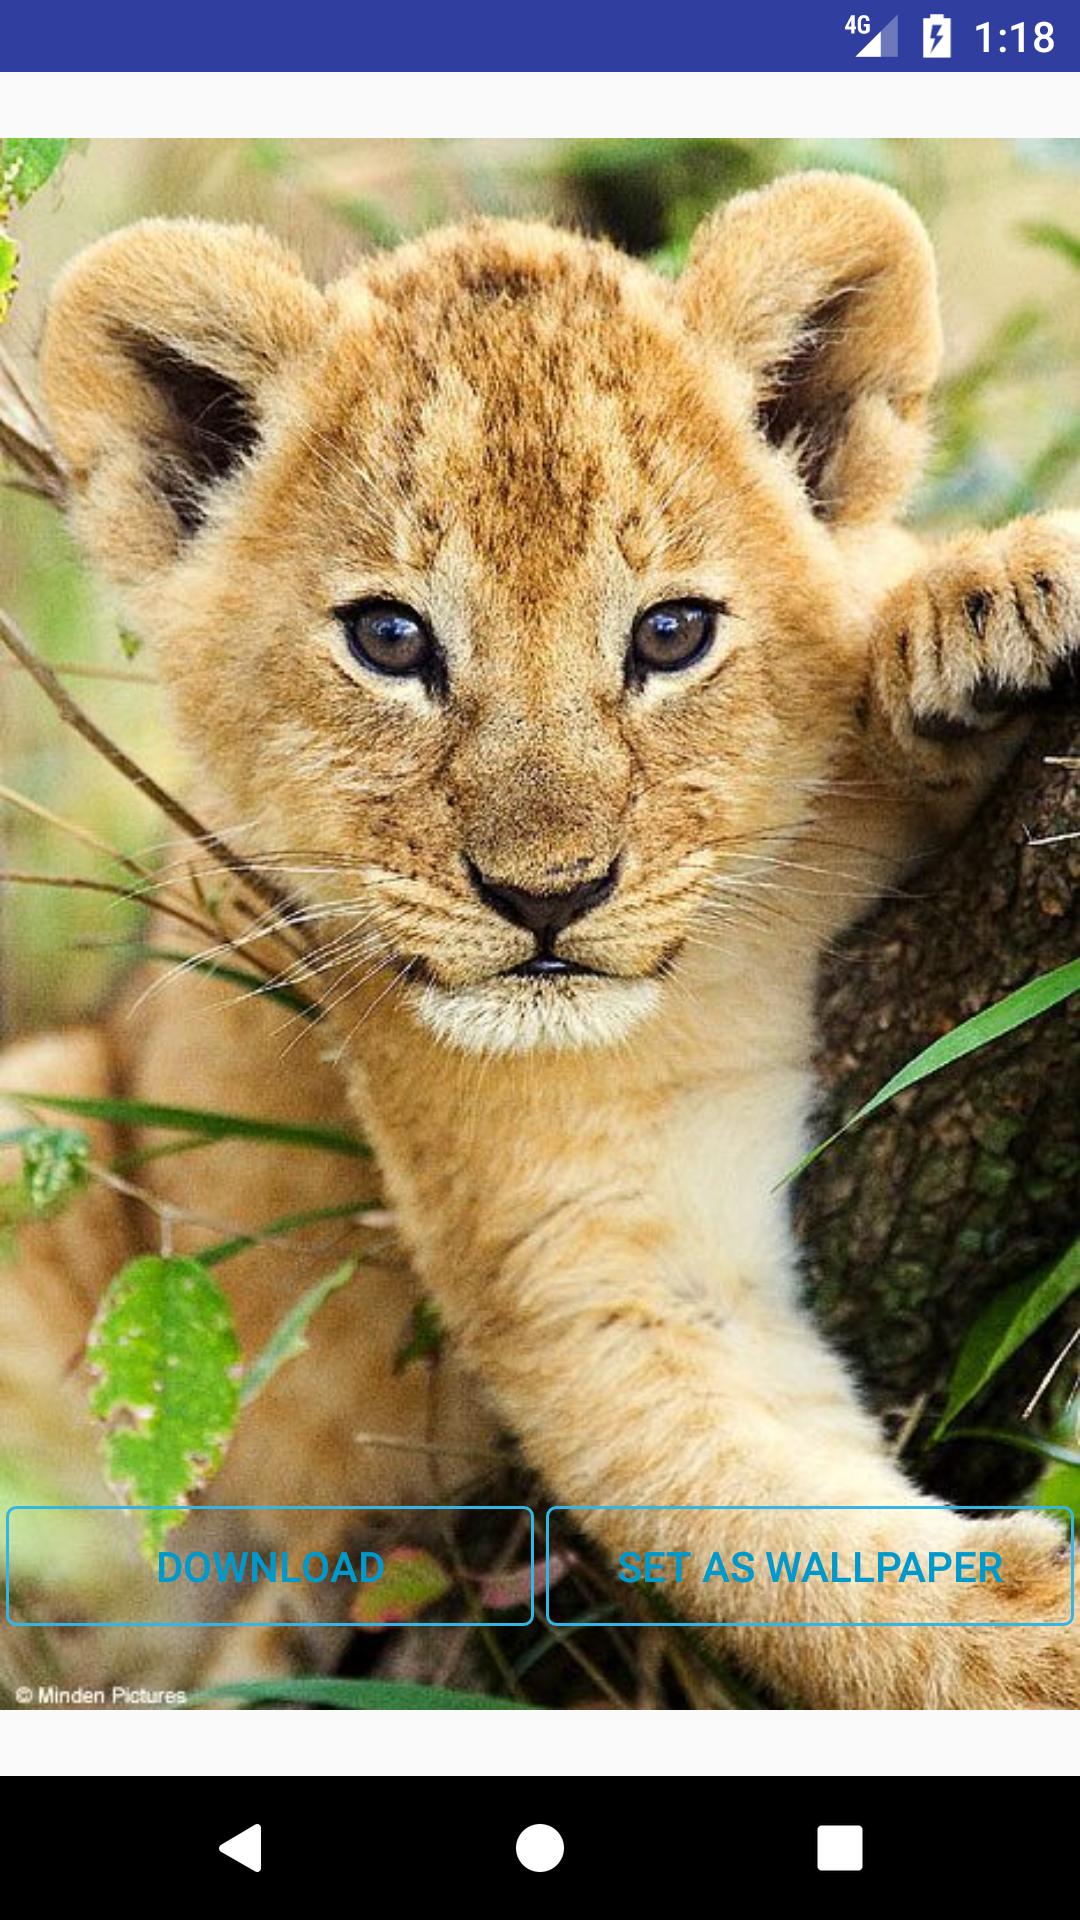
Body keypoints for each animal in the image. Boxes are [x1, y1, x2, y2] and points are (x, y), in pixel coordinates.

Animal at [2, 170, 1078, 1707]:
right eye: (391, 639)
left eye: (672, 632)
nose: (548, 899)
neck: (724, 967)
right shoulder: (582, 1252)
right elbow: (778, 1538)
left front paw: (981, 618)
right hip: (58, 1118)